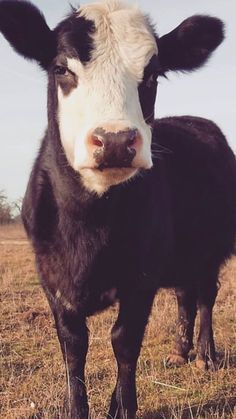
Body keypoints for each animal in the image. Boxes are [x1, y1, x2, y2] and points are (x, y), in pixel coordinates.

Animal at [0, 0, 235, 419]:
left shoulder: (141, 277)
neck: (89, 227)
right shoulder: (51, 278)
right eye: (61, 68)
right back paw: (180, 351)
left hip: (209, 248)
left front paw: (122, 406)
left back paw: (205, 355)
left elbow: (124, 341)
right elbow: (73, 347)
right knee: (185, 294)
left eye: (152, 74)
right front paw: (79, 408)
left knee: (206, 294)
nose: (114, 141)